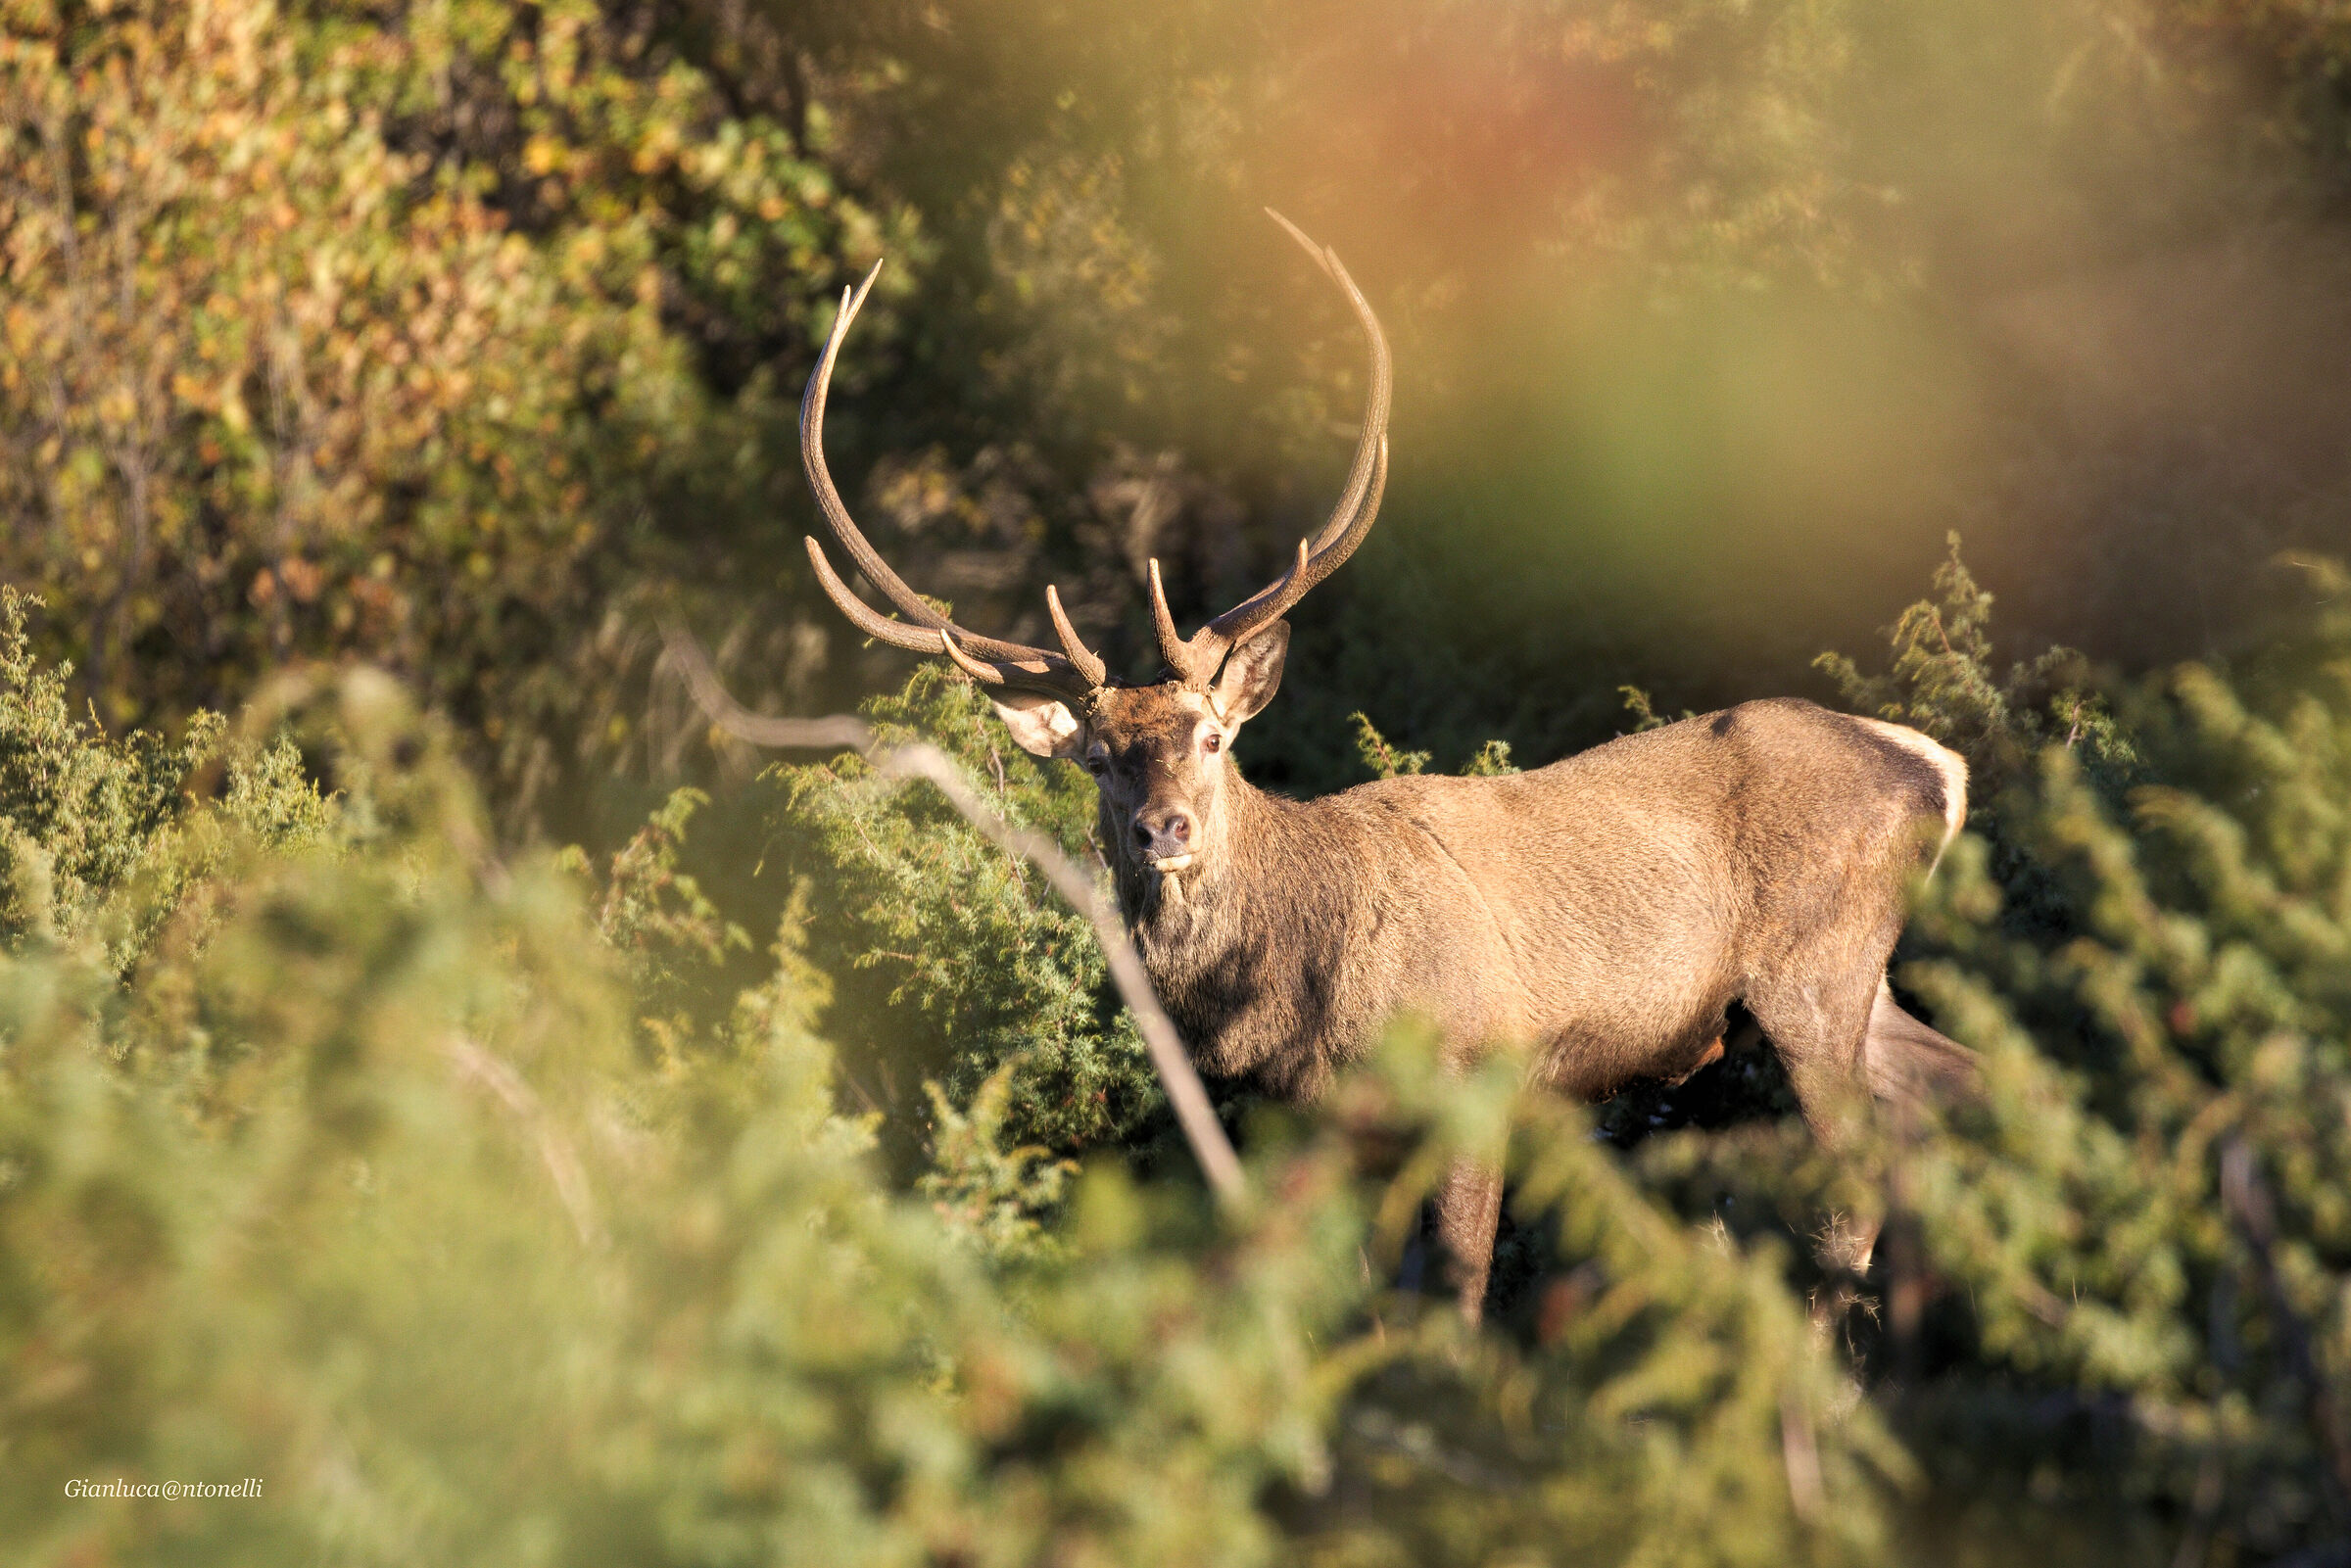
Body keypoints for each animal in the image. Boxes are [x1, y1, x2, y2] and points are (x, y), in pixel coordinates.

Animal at [791, 213, 1979, 1321]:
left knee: (1853, 1187)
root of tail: (1934, 764)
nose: (1163, 828)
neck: (1293, 988)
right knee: (1946, 1092)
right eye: (1097, 757)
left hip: (1812, 964)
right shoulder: (1322, 1122)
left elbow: (1453, 1293)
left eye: (1211, 737)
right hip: (1857, 978)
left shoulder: (1481, 1071)